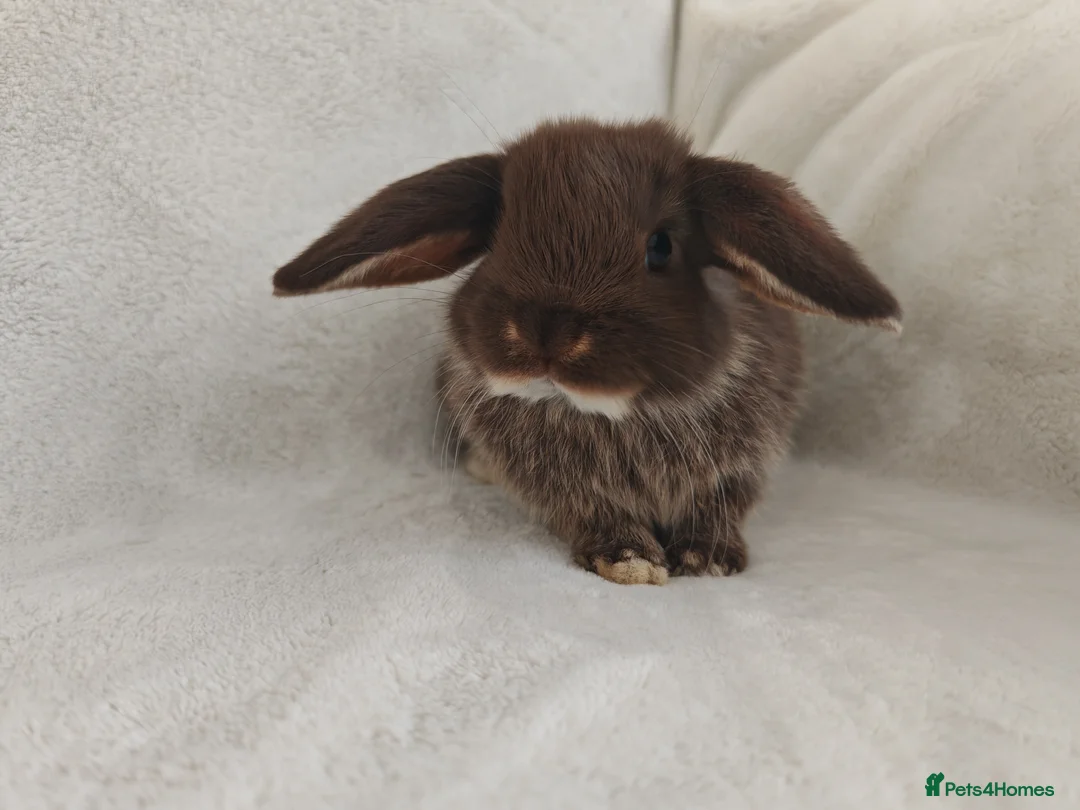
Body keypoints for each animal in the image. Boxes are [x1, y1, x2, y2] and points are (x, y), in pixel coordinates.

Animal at [273, 118, 901, 586]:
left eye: (661, 247)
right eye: (496, 240)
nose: (543, 335)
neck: (619, 416)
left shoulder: (744, 463)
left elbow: (721, 503)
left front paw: (707, 560)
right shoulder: (564, 489)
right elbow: (597, 514)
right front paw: (630, 562)